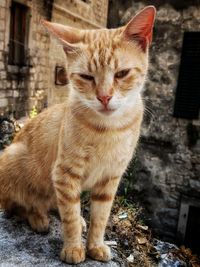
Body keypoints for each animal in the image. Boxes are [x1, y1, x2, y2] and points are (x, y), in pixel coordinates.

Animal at [0, 5, 156, 264]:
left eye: (121, 73)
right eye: (86, 77)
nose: (104, 97)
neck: (109, 129)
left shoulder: (110, 179)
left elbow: (100, 217)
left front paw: (95, 245)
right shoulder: (65, 172)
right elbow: (70, 217)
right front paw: (73, 248)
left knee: (53, 203)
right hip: (12, 158)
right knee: (20, 205)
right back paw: (38, 218)